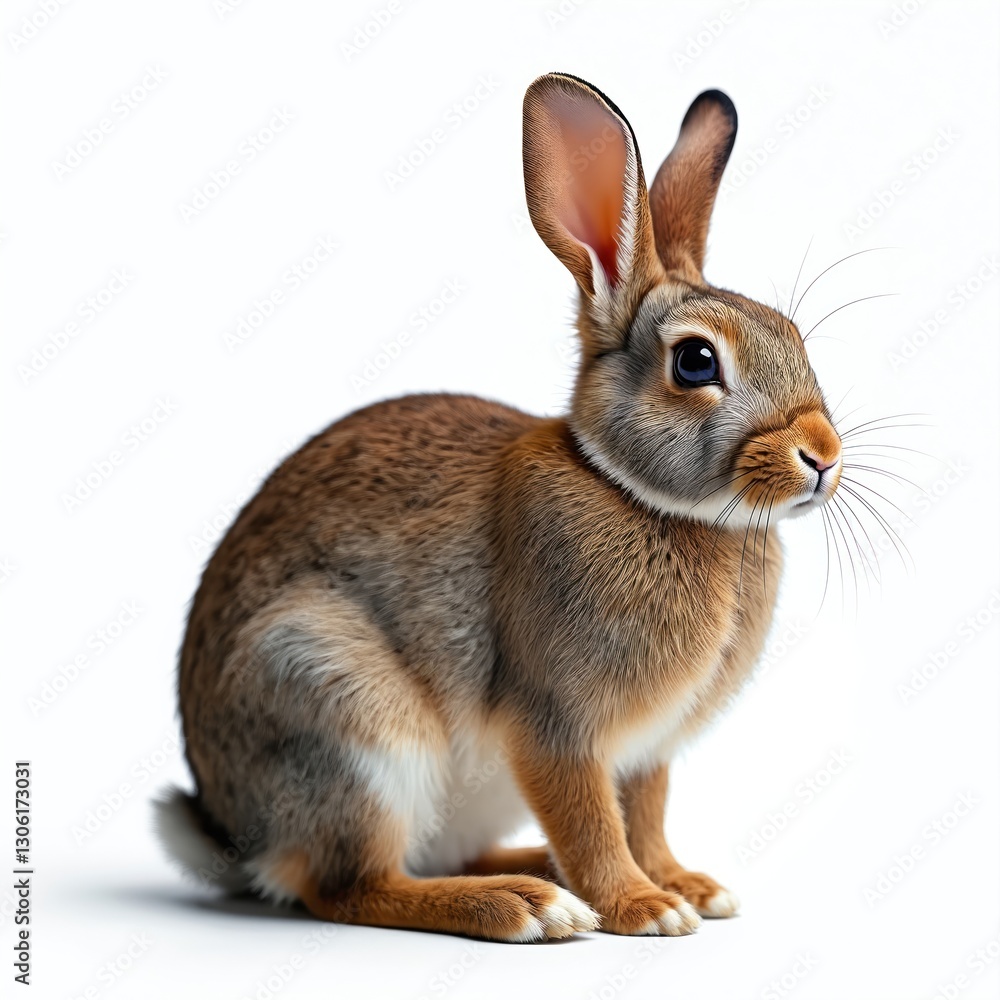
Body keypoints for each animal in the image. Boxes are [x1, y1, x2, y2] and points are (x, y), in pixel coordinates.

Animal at [157, 72, 842, 942]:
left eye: (793, 336)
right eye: (695, 362)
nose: (824, 455)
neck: (636, 493)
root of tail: (237, 835)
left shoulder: (647, 751)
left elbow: (644, 814)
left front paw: (688, 886)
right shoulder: (555, 722)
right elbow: (590, 818)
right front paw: (645, 908)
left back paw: (537, 877)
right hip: (344, 715)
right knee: (351, 885)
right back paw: (526, 906)